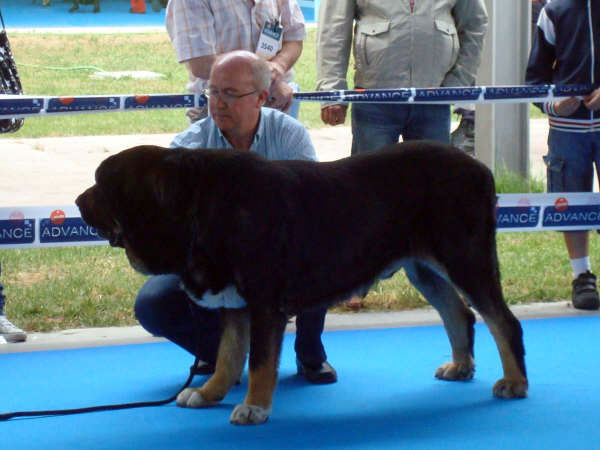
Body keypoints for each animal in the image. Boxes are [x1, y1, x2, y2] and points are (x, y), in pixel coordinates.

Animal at [76, 142, 528, 426]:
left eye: (102, 184)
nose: (79, 201)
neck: (200, 206)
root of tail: (480, 167)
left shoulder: (263, 303)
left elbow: (260, 361)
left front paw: (254, 408)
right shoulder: (237, 305)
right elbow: (228, 355)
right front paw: (209, 393)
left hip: (466, 259)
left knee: (503, 321)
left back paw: (516, 383)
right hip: (425, 269)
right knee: (459, 314)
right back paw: (461, 366)